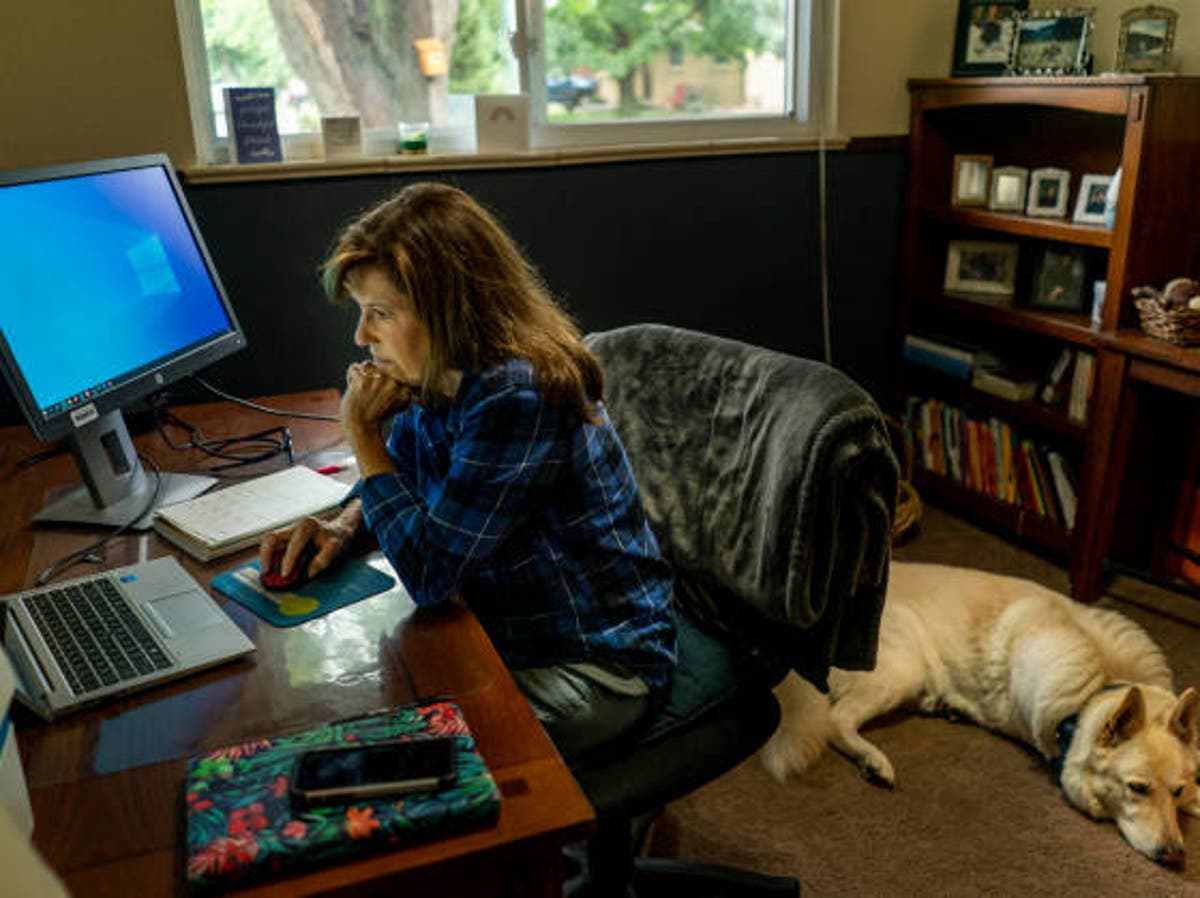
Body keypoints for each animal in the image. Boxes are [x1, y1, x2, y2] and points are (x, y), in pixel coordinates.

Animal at [763, 564, 1195, 864]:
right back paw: (874, 761)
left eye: (1175, 791)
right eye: (1137, 788)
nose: (1176, 854)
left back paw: (941, 706)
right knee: (836, 720)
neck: (1099, 684)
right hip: (902, 668)